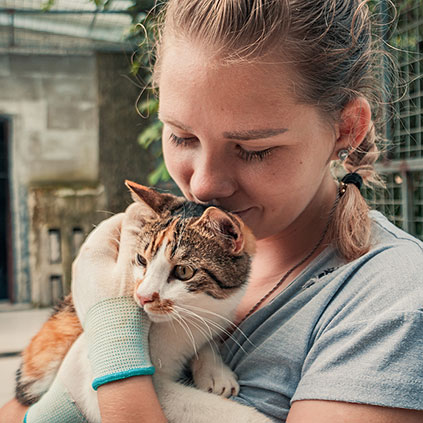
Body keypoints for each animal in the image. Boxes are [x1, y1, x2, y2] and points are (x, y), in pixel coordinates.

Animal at [16, 181, 272, 423]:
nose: (143, 296)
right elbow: (201, 406)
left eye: (184, 271)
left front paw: (215, 370)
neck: (188, 319)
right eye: (141, 259)